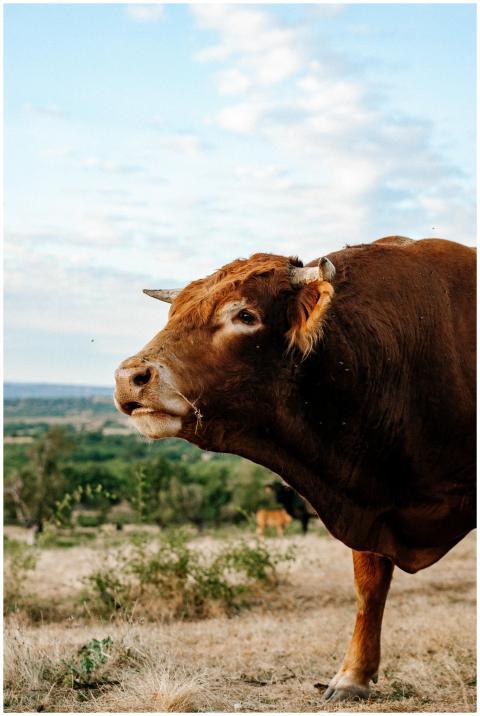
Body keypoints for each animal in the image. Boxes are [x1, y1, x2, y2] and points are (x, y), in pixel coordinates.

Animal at [114, 236, 476, 701]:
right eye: (174, 314)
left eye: (244, 315)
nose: (130, 376)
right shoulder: (365, 492)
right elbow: (369, 585)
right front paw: (353, 675)